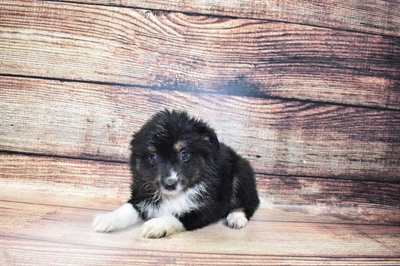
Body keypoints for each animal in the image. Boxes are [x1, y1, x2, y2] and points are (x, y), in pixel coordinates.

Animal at [94, 109, 262, 238]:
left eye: (184, 154)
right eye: (152, 157)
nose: (170, 184)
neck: (174, 196)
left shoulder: (209, 207)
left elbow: (178, 215)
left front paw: (156, 224)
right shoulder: (143, 194)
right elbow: (129, 207)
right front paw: (107, 218)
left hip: (241, 175)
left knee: (250, 202)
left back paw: (236, 217)